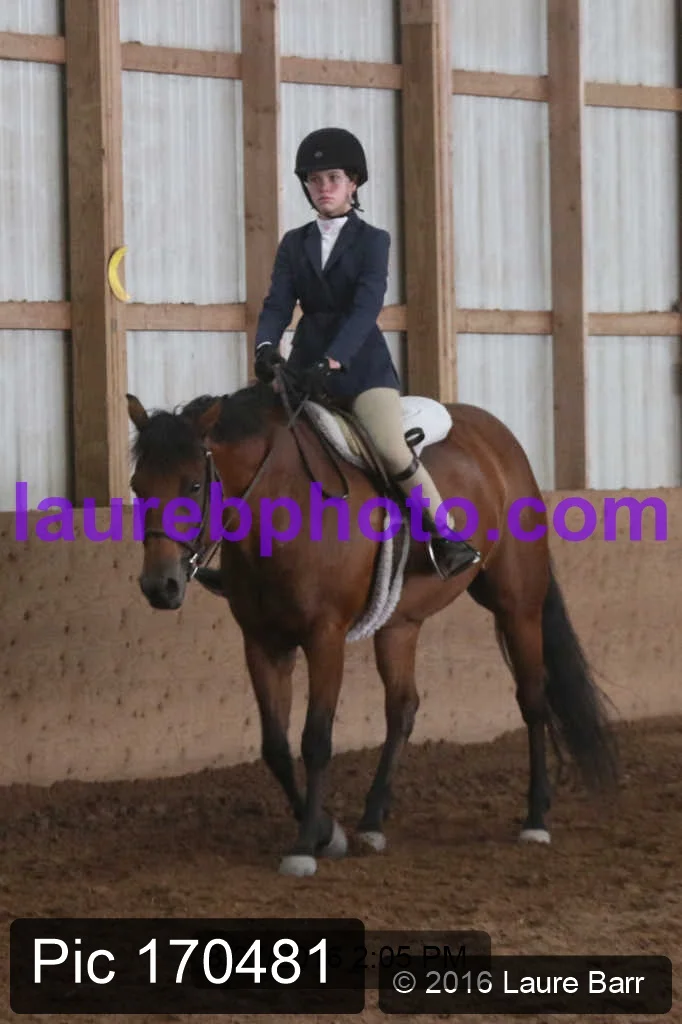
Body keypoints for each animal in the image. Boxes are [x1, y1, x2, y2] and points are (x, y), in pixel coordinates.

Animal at [126, 369, 619, 877]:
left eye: (192, 486)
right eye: (138, 487)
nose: (160, 586)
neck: (282, 503)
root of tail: (497, 436)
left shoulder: (325, 637)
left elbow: (316, 739)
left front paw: (306, 845)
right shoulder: (263, 642)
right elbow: (276, 747)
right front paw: (329, 832)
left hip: (517, 606)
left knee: (532, 700)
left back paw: (535, 818)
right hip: (400, 623)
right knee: (402, 708)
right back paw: (372, 822)